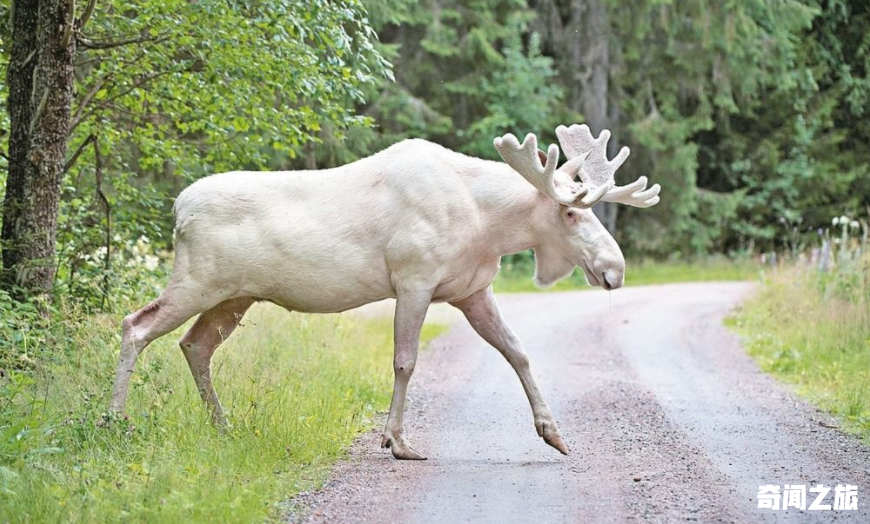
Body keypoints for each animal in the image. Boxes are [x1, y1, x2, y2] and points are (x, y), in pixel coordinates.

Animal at [109, 123, 660, 458]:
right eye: (570, 212)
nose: (615, 269)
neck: (487, 225)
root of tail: (178, 209)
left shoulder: (472, 290)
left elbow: (518, 351)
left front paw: (553, 432)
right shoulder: (414, 278)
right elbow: (405, 361)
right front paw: (396, 441)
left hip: (233, 296)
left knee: (194, 344)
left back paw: (222, 426)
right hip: (198, 280)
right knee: (135, 325)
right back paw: (115, 421)